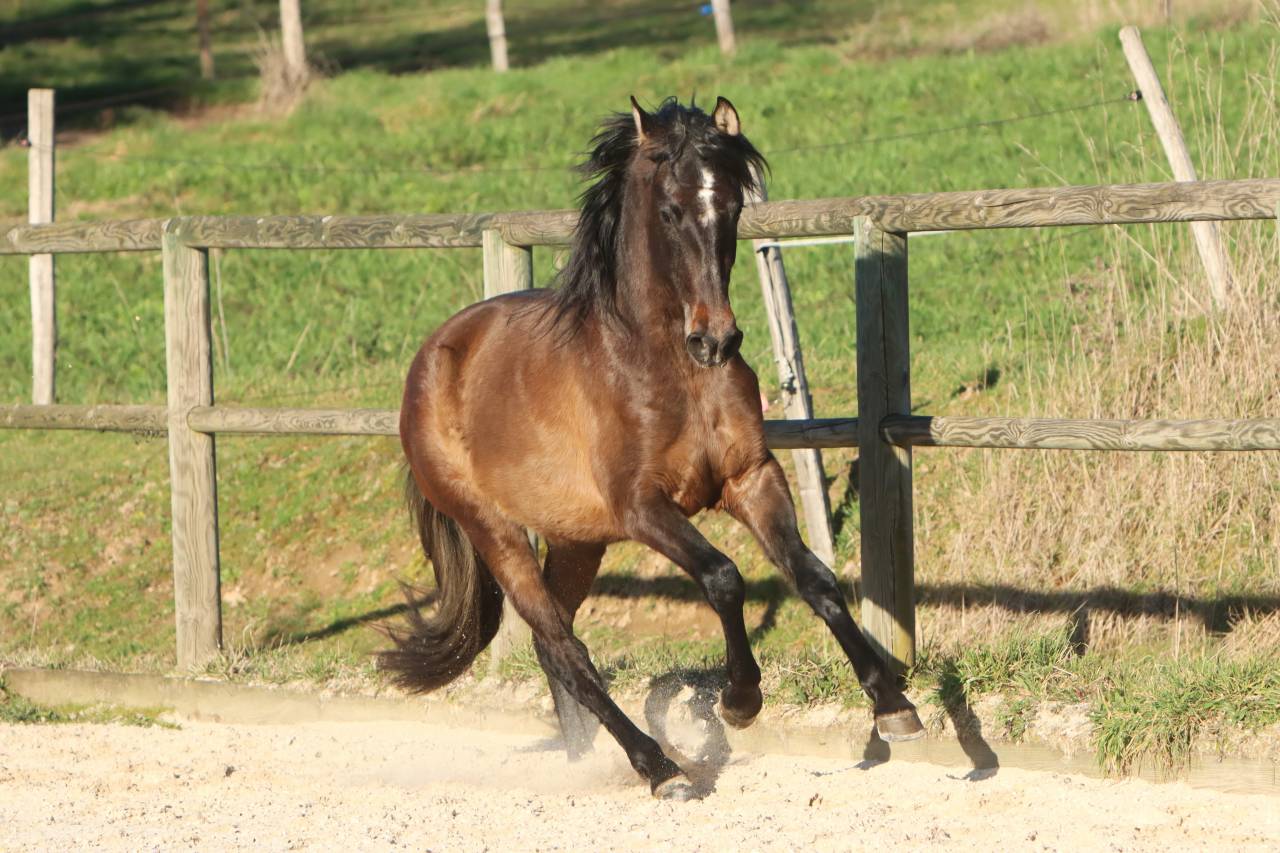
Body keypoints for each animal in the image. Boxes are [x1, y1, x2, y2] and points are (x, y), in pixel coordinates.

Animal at [381, 96, 925, 800]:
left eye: (734, 204)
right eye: (669, 210)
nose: (716, 340)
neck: (666, 366)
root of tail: (429, 360)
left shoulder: (751, 477)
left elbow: (816, 578)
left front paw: (894, 708)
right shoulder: (642, 507)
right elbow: (723, 577)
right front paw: (739, 701)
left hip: (577, 540)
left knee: (555, 643)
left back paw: (586, 758)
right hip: (494, 531)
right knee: (565, 648)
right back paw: (660, 769)